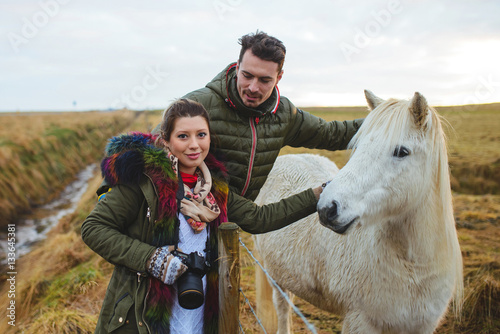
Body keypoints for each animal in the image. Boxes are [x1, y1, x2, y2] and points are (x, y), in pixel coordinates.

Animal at [254, 91, 464, 334]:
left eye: (402, 152)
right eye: (359, 145)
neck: (415, 269)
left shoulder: (423, 326)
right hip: (275, 277)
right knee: (282, 308)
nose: (326, 208)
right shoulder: (360, 322)